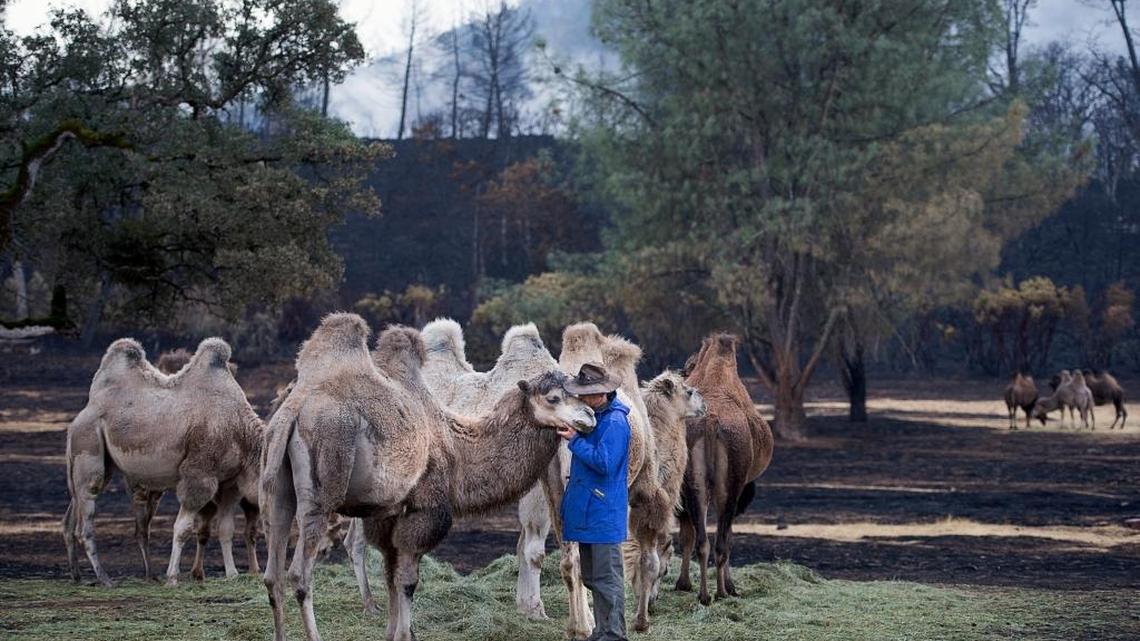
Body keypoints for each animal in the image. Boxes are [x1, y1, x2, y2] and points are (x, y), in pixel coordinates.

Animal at [64, 337, 263, 587]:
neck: (241, 431)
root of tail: (81, 416)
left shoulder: (230, 481)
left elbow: (226, 528)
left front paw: (233, 574)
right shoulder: (199, 473)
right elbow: (182, 528)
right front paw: (173, 577)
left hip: (95, 459)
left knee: (73, 513)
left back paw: (77, 575)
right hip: (88, 441)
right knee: (87, 511)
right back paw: (105, 578)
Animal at [259, 316, 595, 641]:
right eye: (553, 398)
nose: (589, 416)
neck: (456, 446)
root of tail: (290, 413)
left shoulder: (387, 514)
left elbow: (391, 576)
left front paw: (393, 631)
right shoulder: (425, 510)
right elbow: (408, 582)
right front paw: (404, 633)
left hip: (277, 492)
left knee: (273, 574)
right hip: (322, 486)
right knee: (299, 574)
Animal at [676, 333, 774, 605]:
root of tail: (711, 422)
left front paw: (684, 584)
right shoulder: (740, 488)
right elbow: (728, 536)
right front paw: (730, 586)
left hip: (694, 483)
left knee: (701, 540)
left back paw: (703, 594)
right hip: (730, 484)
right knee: (721, 540)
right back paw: (721, 591)